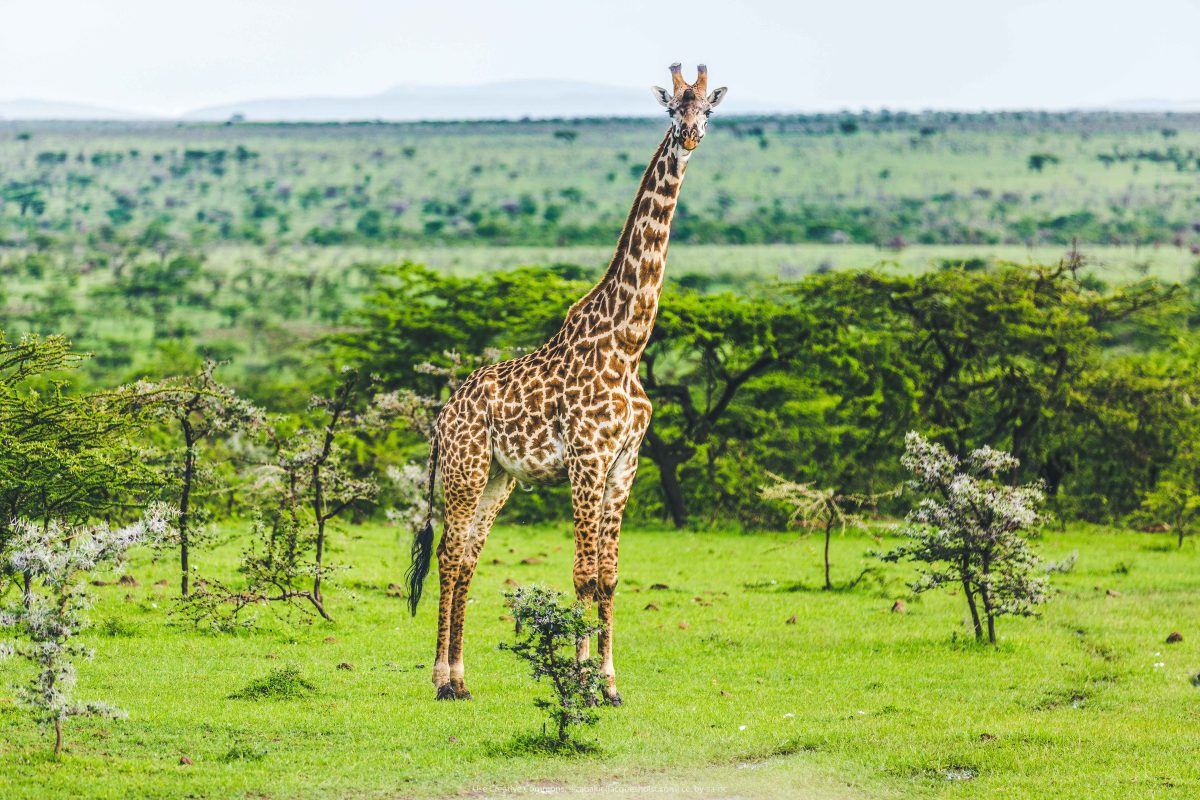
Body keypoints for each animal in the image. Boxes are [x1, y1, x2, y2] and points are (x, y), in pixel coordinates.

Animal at [406, 63, 727, 703]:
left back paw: (462, 678)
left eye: (708, 109)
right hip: (464, 469)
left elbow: (609, 575)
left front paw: (608, 682)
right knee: (450, 555)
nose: (690, 137)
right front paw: (579, 681)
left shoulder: (626, 462)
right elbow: (581, 574)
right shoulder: (585, 457)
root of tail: (443, 414)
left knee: (468, 557)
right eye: (671, 109)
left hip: (498, 479)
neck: (628, 344)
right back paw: (442, 681)